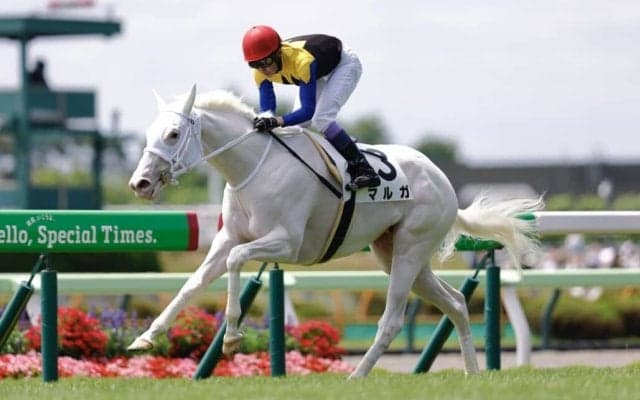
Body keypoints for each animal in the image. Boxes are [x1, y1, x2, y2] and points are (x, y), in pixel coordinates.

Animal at [127, 84, 543, 378]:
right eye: (149, 132)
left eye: (173, 134)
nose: (140, 184)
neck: (255, 168)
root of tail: (445, 183)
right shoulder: (228, 238)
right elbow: (192, 284)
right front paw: (145, 338)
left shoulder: (287, 243)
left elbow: (236, 261)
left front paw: (231, 337)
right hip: (393, 251)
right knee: (455, 301)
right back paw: (473, 373)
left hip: (411, 248)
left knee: (392, 319)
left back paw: (356, 376)